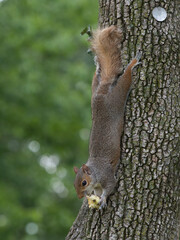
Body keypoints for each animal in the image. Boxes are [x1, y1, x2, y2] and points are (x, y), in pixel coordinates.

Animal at [73, 25, 141, 208]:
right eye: (74, 184)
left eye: (84, 182)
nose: (80, 197)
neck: (95, 172)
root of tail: (101, 94)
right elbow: (98, 192)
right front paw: (97, 198)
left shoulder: (106, 175)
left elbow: (110, 186)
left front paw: (102, 199)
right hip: (94, 90)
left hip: (116, 98)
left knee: (125, 80)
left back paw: (133, 63)